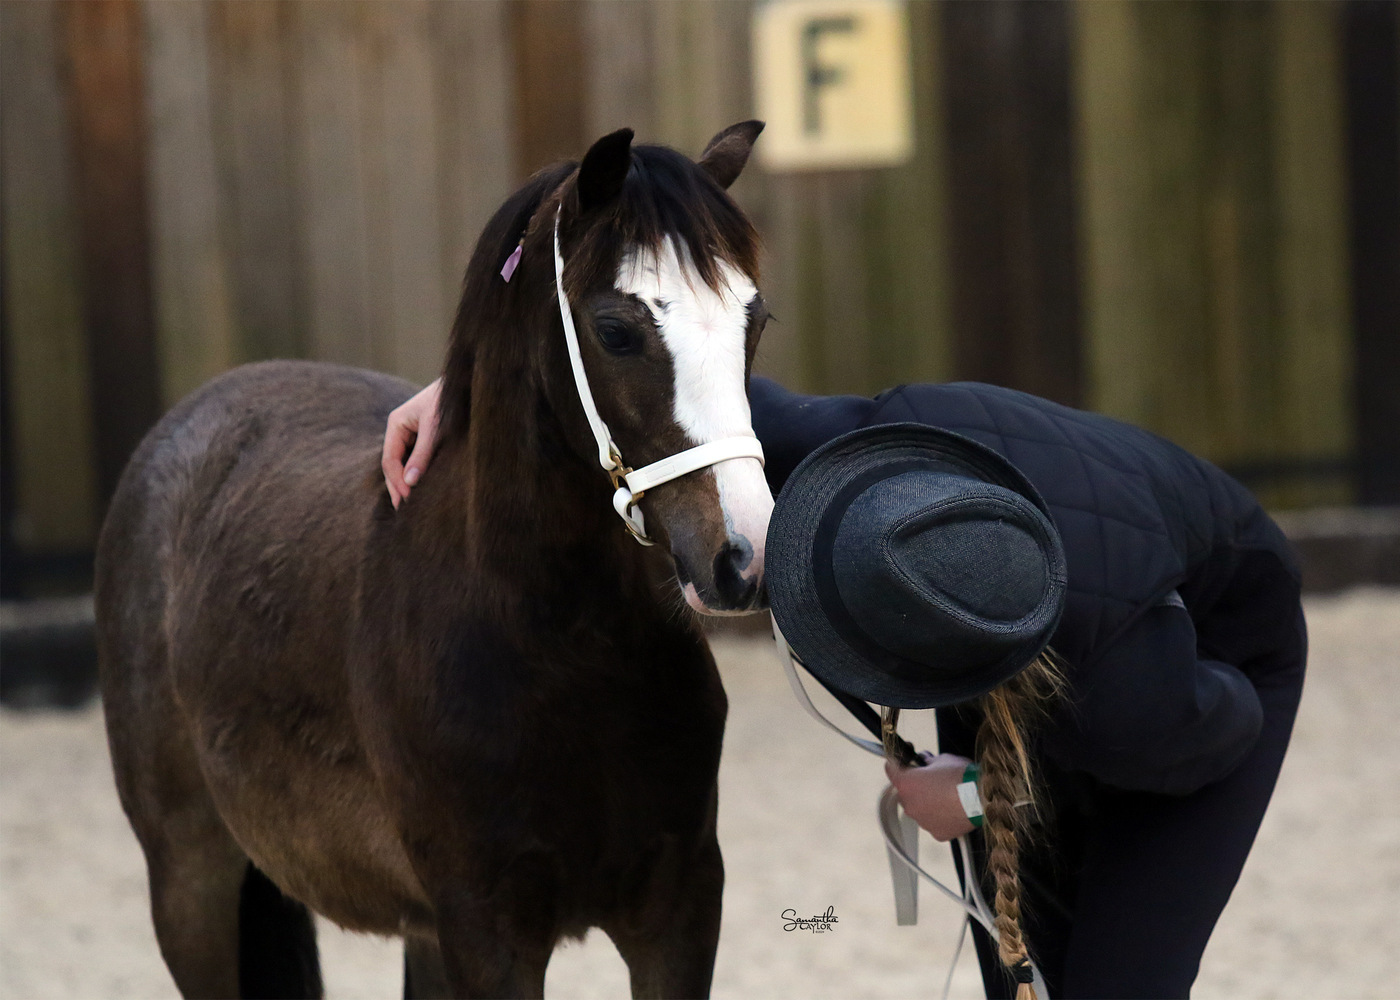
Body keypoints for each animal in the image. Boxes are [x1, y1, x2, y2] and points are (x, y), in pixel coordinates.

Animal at [95, 121, 773, 999]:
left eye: (755, 321)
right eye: (616, 330)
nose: (746, 556)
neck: (558, 648)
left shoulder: (679, 910)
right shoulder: (488, 929)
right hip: (191, 885)